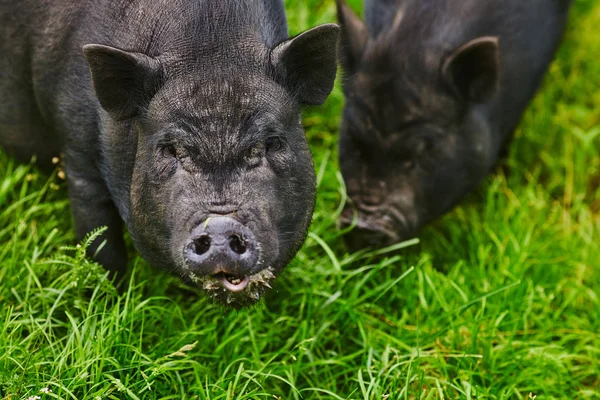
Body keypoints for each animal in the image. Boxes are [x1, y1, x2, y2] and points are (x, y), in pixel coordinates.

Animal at [0, 0, 338, 306]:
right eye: (170, 149)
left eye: (272, 142)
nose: (220, 228)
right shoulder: (77, 154)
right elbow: (101, 246)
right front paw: (104, 302)